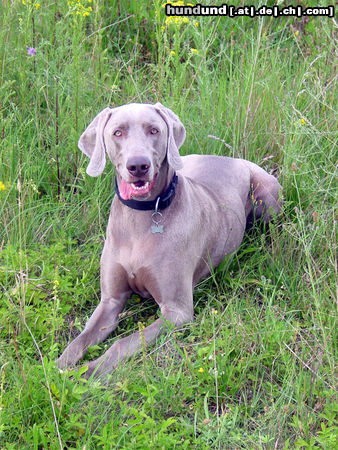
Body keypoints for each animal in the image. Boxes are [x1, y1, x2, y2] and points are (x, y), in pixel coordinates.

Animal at [56, 103, 282, 376]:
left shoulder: (177, 312)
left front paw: (89, 372)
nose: (138, 166)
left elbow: (123, 343)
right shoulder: (110, 300)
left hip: (267, 198)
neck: (140, 217)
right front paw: (56, 368)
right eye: (117, 132)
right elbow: (81, 339)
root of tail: (230, 158)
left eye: (154, 130)